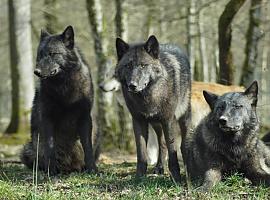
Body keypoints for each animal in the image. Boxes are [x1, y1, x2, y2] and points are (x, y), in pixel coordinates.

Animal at [20, 25, 99, 175]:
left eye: (52, 53)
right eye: (40, 55)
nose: (36, 72)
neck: (64, 87)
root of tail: (69, 168)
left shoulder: (85, 117)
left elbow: (88, 147)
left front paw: (93, 169)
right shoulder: (47, 118)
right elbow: (50, 147)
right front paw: (51, 171)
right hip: (28, 148)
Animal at [115, 35, 191, 182]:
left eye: (143, 65)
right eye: (128, 65)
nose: (132, 85)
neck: (147, 98)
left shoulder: (168, 120)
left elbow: (173, 151)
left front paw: (176, 178)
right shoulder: (138, 121)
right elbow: (141, 153)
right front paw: (139, 177)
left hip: (182, 119)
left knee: (182, 144)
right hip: (156, 124)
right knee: (162, 144)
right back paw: (159, 167)